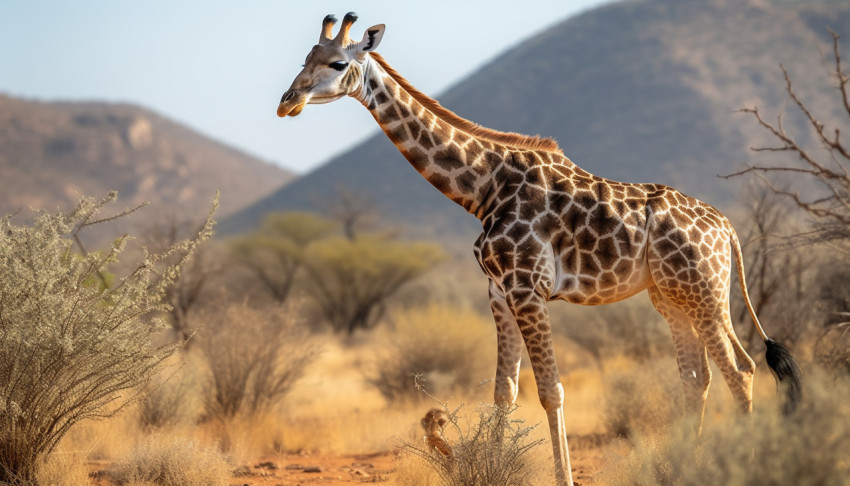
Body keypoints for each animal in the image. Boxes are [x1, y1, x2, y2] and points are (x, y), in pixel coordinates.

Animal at [274, 13, 800, 484]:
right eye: (305, 59)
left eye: (339, 63)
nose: (287, 102)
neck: (482, 187)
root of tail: (726, 226)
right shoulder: (498, 293)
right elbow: (505, 391)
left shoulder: (529, 289)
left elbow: (550, 391)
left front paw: (562, 478)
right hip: (669, 296)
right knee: (696, 378)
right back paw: (690, 467)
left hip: (703, 290)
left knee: (741, 369)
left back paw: (749, 464)